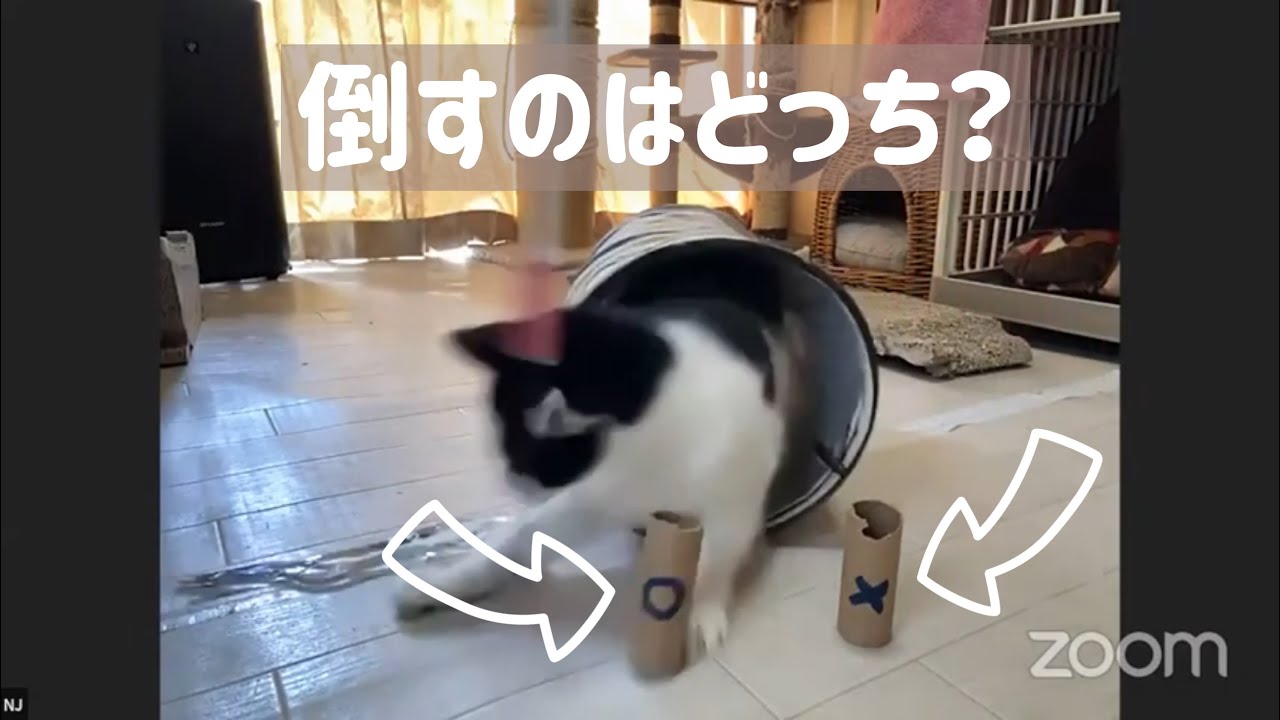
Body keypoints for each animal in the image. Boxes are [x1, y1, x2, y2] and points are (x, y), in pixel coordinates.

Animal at [392, 297, 808, 656]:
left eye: (529, 452)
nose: (512, 481)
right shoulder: (585, 500)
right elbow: (516, 540)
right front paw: (441, 586)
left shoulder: (734, 502)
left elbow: (713, 564)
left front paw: (701, 616)